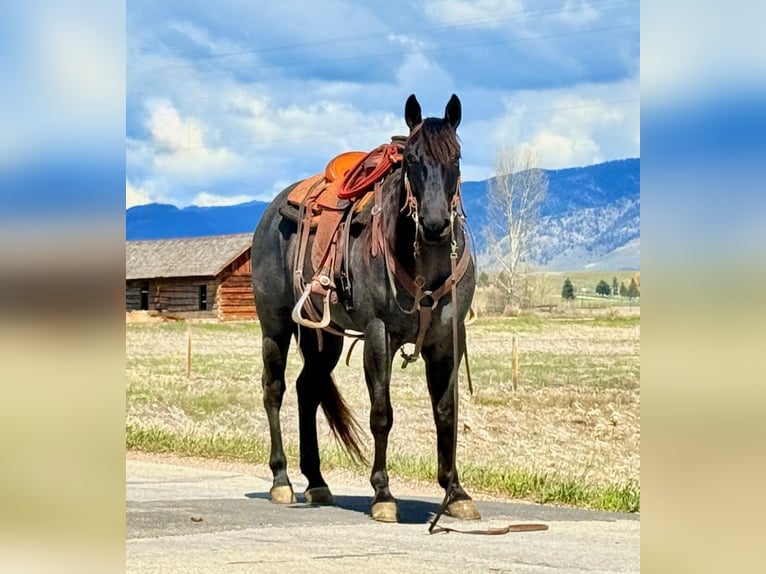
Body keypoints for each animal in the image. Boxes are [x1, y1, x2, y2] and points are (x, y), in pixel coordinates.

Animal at [251, 94, 478, 523]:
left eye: (456, 157)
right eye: (412, 160)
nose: (435, 224)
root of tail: (271, 213)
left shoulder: (447, 339)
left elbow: (446, 411)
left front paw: (455, 493)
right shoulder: (378, 334)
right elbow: (381, 413)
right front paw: (383, 494)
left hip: (323, 336)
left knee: (308, 389)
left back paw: (316, 481)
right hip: (275, 326)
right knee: (274, 389)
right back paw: (282, 480)